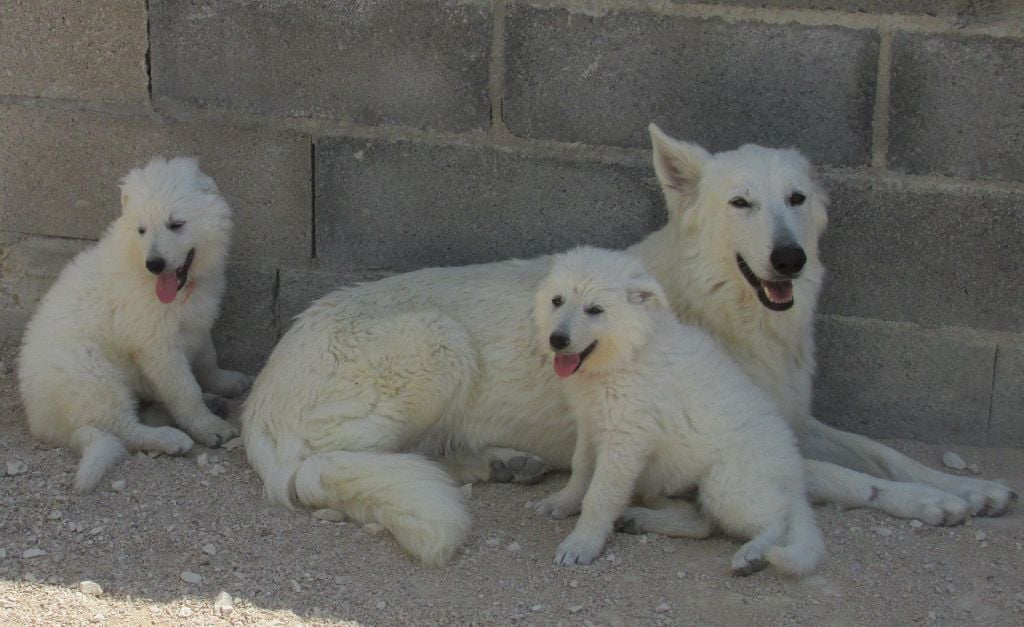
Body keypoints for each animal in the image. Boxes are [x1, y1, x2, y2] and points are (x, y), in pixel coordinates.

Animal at [18, 155, 249, 489]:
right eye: (142, 229)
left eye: (175, 224)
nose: (154, 264)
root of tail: (40, 420)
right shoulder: (157, 346)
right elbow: (184, 389)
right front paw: (209, 427)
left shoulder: (196, 323)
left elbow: (207, 361)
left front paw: (226, 381)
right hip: (93, 377)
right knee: (123, 427)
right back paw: (171, 438)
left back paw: (208, 403)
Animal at [536, 245, 823, 577]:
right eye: (557, 301)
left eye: (595, 310)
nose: (557, 340)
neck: (629, 353)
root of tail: (795, 481)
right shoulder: (590, 423)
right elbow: (580, 466)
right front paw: (564, 501)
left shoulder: (624, 442)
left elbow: (600, 496)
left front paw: (581, 543)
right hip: (671, 481)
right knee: (702, 521)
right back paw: (638, 518)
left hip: (726, 483)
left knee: (777, 520)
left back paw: (753, 554)